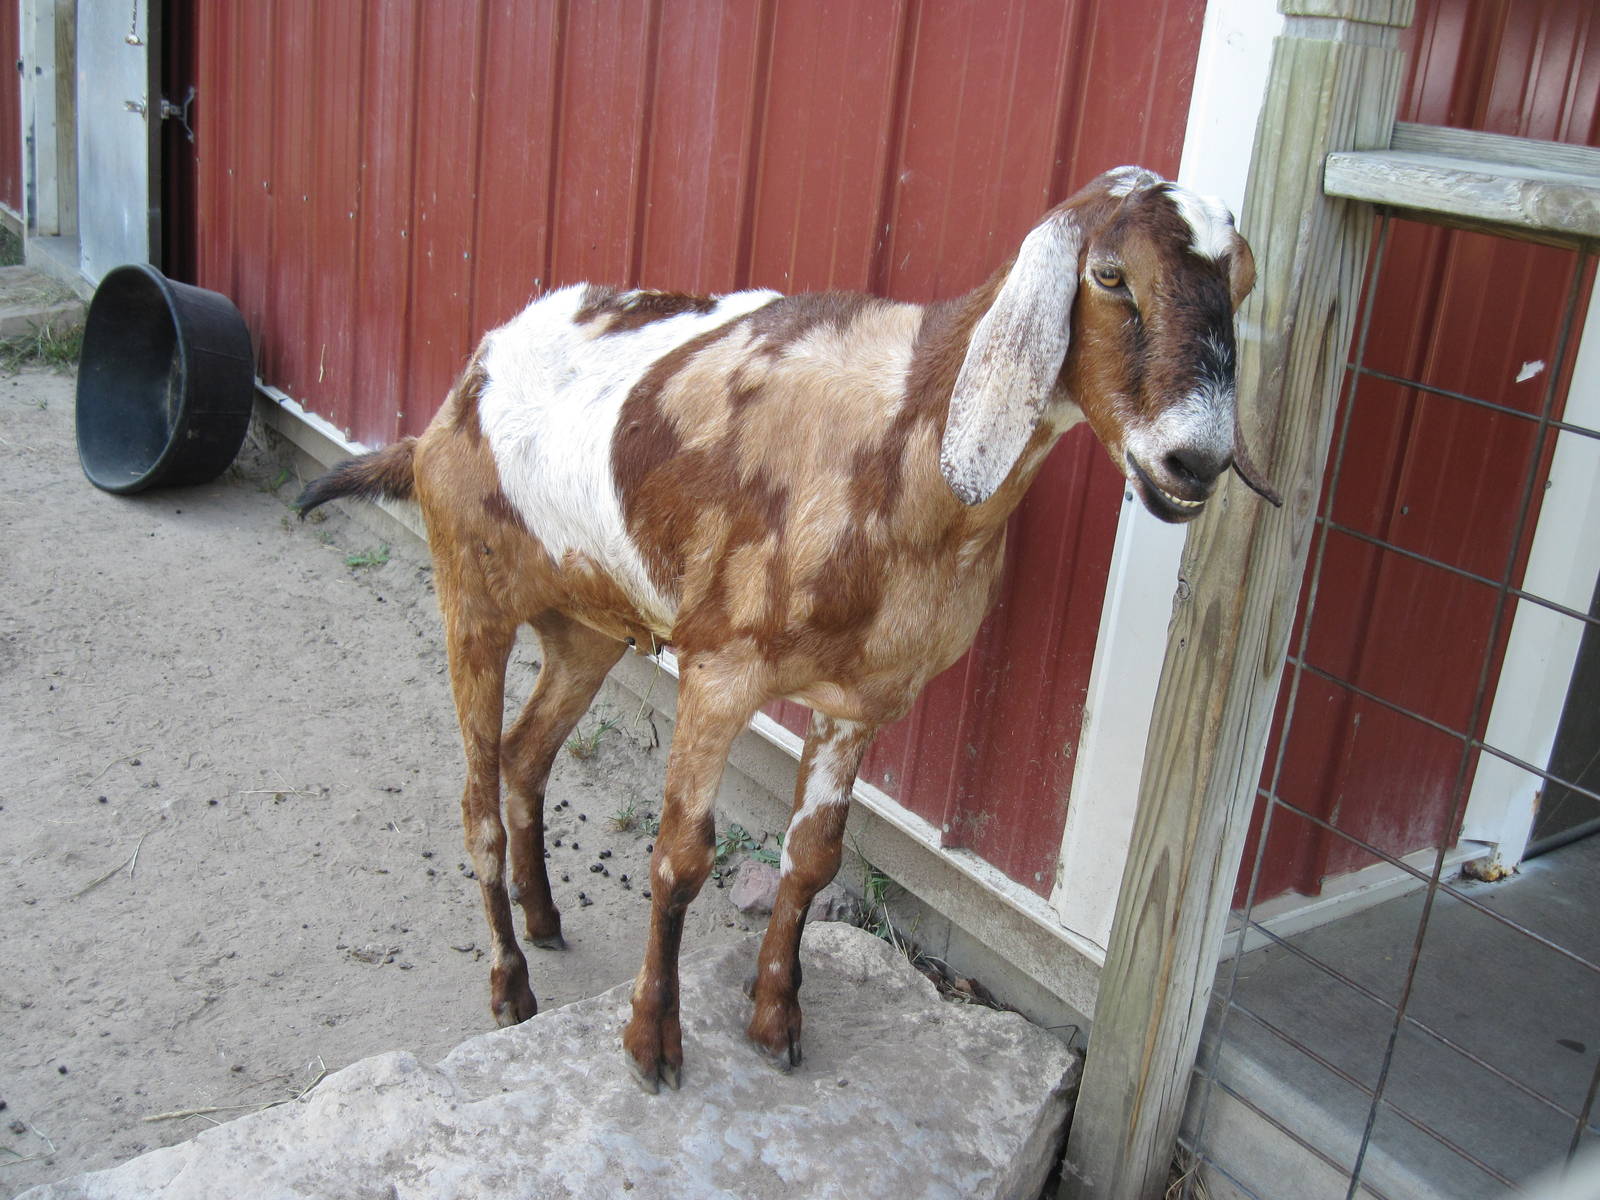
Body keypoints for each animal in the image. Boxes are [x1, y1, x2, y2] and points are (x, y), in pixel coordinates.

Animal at [297, 166, 1279, 1093]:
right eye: (1111, 275)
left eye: (1241, 282)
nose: (1193, 461)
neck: (905, 439)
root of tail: (454, 395)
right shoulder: (719, 670)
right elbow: (678, 860)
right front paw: (652, 1045)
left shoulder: (864, 700)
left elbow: (813, 857)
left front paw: (776, 1022)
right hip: (471, 596)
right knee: (476, 800)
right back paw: (509, 987)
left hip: (587, 626)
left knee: (525, 754)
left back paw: (544, 920)